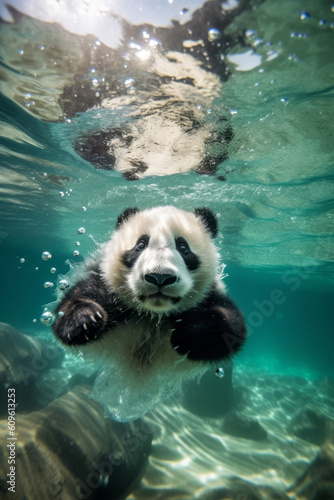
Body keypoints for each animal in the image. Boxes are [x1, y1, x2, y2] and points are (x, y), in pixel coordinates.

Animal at [52, 205, 245, 420]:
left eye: (183, 248)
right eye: (141, 245)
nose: (160, 277)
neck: (153, 315)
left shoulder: (209, 293)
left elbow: (231, 328)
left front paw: (188, 332)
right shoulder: (104, 281)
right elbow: (69, 311)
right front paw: (86, 319)